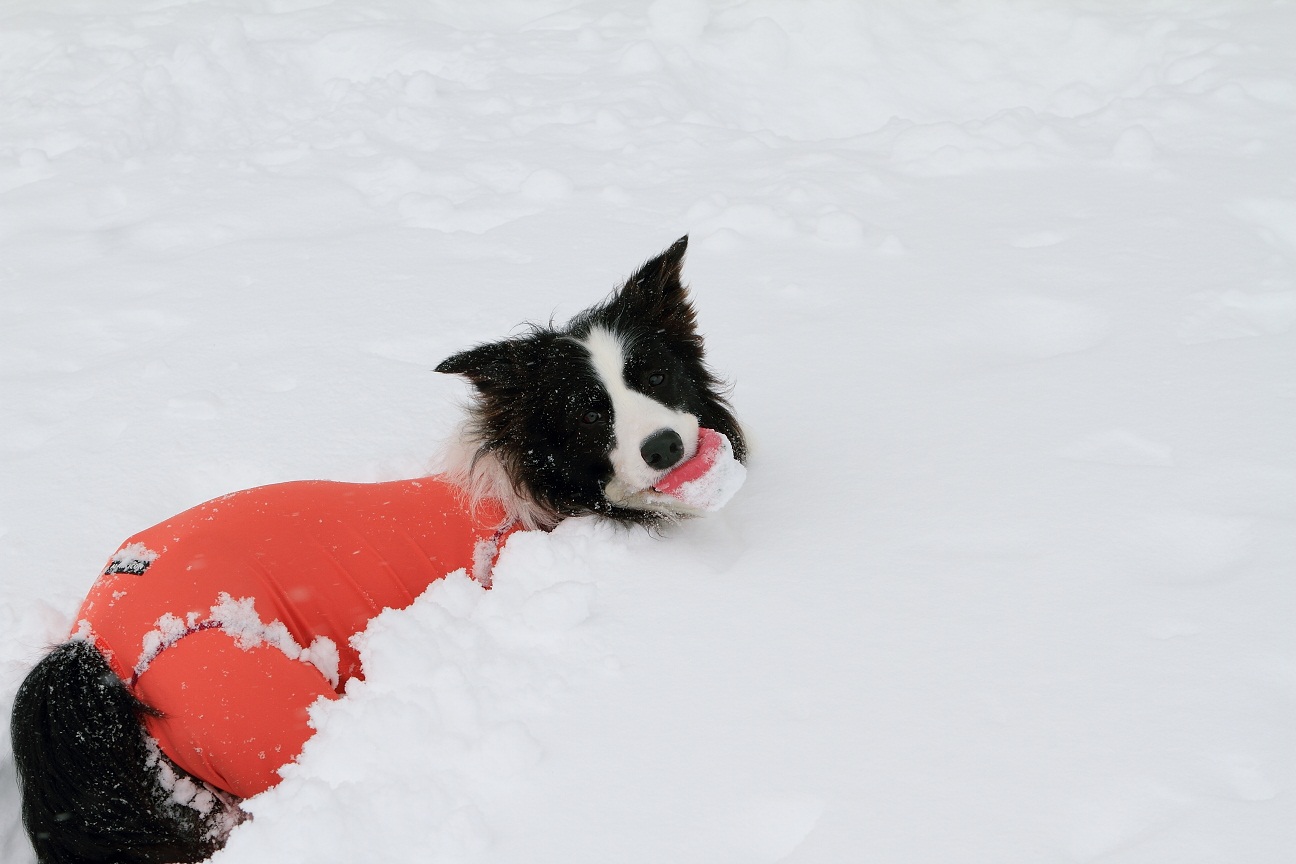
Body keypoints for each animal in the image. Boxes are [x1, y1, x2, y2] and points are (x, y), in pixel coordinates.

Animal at [10, 237, 751, 864]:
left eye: (655, 376)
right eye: (591, 412)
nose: (665, 448)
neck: (538, 487)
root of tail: (87, 649)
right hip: (261, 706)